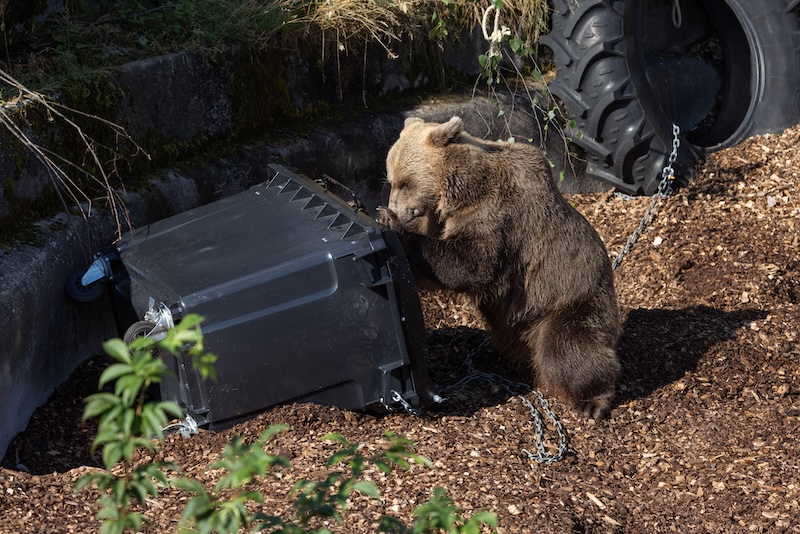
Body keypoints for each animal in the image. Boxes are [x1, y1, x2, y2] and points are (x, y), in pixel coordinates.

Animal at [377, 116, 621, 419]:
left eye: (406, 183)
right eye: (391, 180)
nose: (396, 210)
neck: (464, 191)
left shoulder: (499, 217)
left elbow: (469, 264)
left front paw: (391, 224)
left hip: (570, 300)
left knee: (569, 347)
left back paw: (593, 401)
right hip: (516, 322)